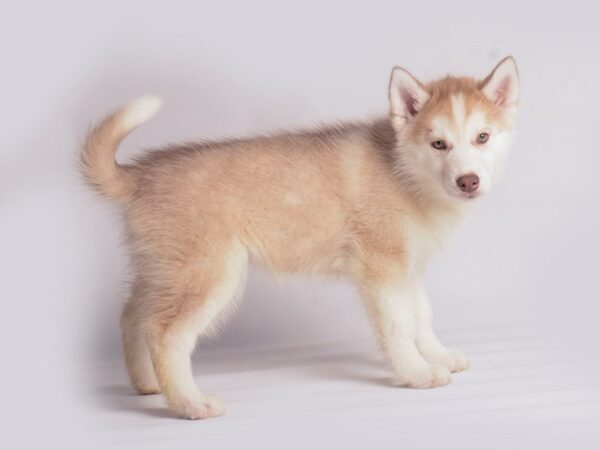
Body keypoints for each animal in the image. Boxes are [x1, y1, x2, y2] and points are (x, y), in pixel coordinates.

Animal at [81, 58, 520, 420]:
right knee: (165, 333)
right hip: (208, 276)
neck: (405, 172)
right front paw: (415, 372)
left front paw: (437, 356)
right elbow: (399, 325)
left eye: (482, 137)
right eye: (439, 144)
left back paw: (147, 384)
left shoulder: (407, 268)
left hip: (164, 270)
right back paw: (190, 403)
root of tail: (139, 175)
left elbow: (421, 317)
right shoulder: (382, 269)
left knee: (132, 315)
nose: (468, 181)